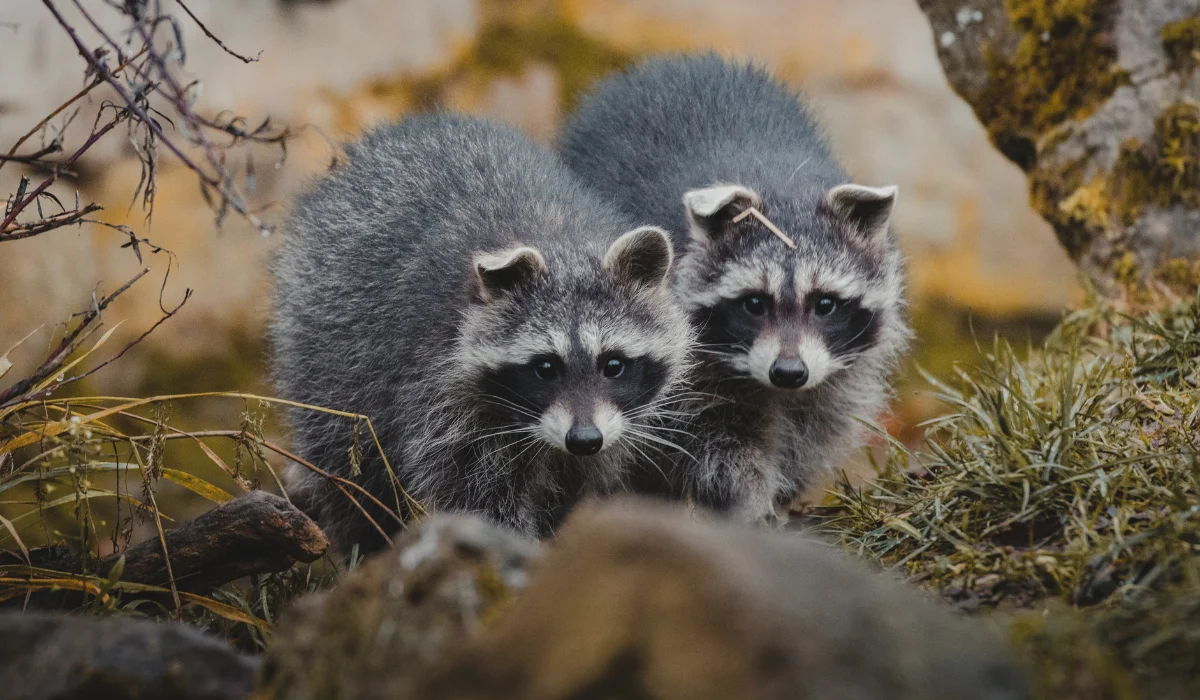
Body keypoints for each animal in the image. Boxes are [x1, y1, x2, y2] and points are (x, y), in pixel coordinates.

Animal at [271, 114, 693, 553]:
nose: (583, 439)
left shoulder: (614, 427)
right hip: (328, 344)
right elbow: (475, 496)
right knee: (348, 467)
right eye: (545, 367)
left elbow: (578, 485)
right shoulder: (439, 389)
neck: (561, 244)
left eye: (613, 364)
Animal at [560, 54, 911, 520]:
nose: (789, 372)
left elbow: (816, 426)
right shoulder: (684, 367)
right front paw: (747, 498)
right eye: (754, 303)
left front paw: (784, 491)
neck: (781, 184)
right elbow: (712, 442)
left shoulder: (838, 369)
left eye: (825, 304)